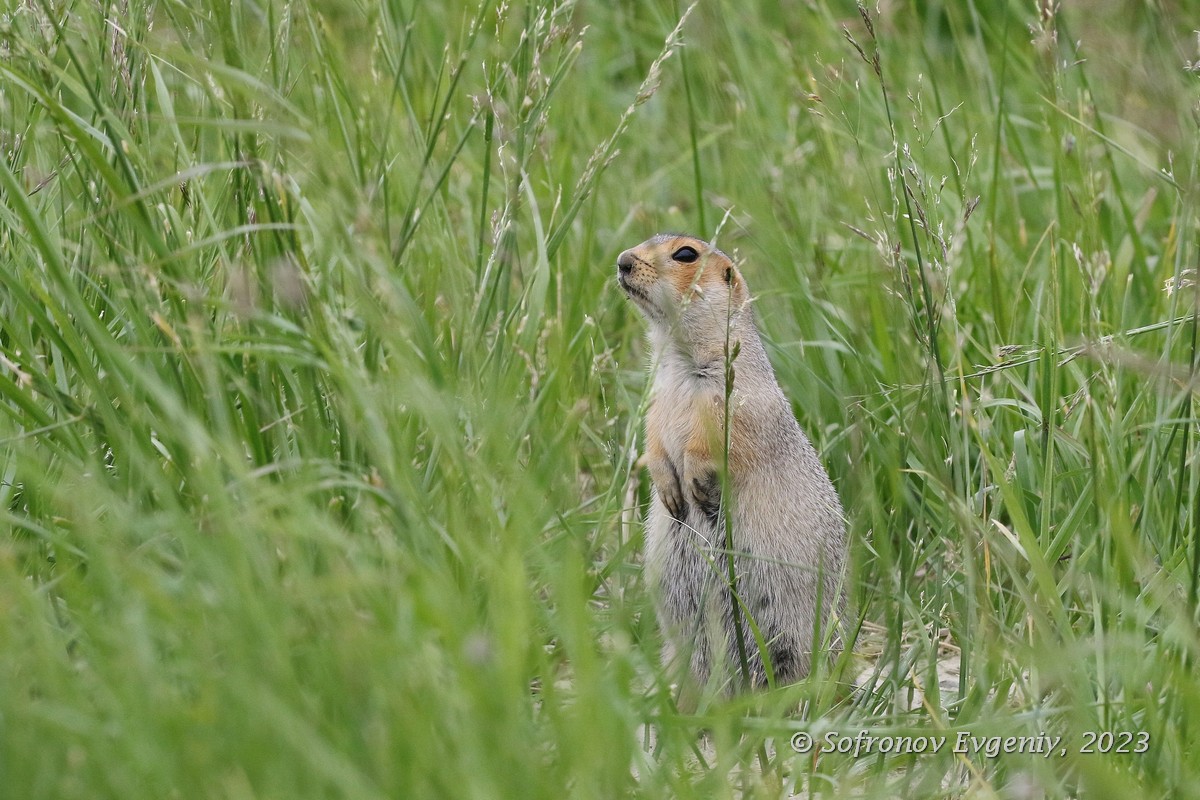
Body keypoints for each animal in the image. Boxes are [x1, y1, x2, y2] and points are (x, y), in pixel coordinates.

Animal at [614, 232, 849, 695]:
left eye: (686, 254)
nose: (622, 261)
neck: (680, 360)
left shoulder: (739, 397)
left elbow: (720, 440)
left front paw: (694, 480)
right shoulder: (656, 399)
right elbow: (653, 438)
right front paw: (667, 486)